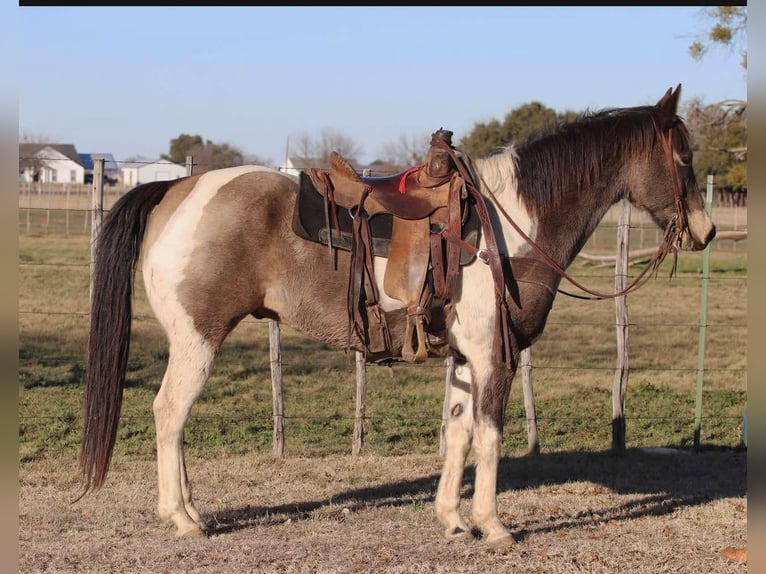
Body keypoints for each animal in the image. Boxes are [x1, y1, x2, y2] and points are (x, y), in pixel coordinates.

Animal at [79, 84, 715, 549]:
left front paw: (453, 519)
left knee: (174, 420)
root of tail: (176, 188)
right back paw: (182, 518)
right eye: (682, 156)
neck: (511, 225)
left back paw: (191, 510)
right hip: (199, 340)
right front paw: (494, 526)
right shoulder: (494, 357)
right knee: (170, 414)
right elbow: (489, 436)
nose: (705, 231)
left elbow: (458, 431)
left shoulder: (464, 357)